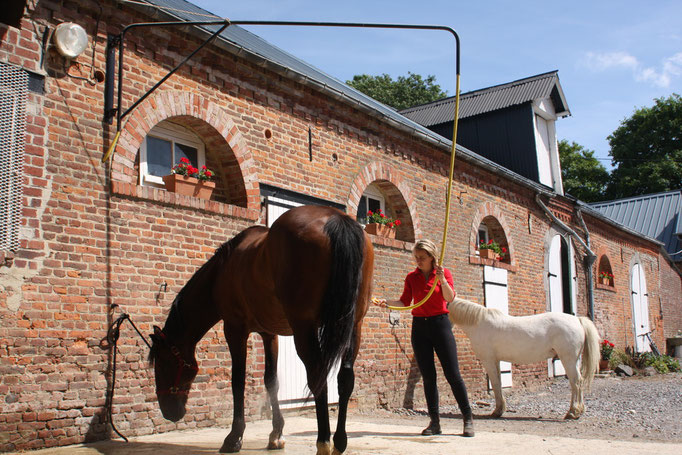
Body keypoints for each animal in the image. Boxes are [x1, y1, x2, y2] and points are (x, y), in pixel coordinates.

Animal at [147, 208, 374, 455]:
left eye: (162, 363)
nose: (170, 412)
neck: (221, 271)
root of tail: (335, 218)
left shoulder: (234, 329)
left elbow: (238, 381)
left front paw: (234, 438)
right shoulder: (269, 334)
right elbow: (271, 381)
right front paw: (276, 434)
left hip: (305, 328)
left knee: (318, 377)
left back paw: (323, 442)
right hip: (354, 325)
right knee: (345, 379)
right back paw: (339, 442)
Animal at [448, 300, 596, 420]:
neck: (478, 322)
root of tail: (577, 320)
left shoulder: (488, 360)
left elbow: (495, 384)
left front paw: (497, 411)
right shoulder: (496, 360)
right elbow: (499, 384)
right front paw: (500, 409)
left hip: (568, 359)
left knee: (576, 382)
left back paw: (572, 412)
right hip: (574, 360)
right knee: (578, 382)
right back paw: (577, 411)